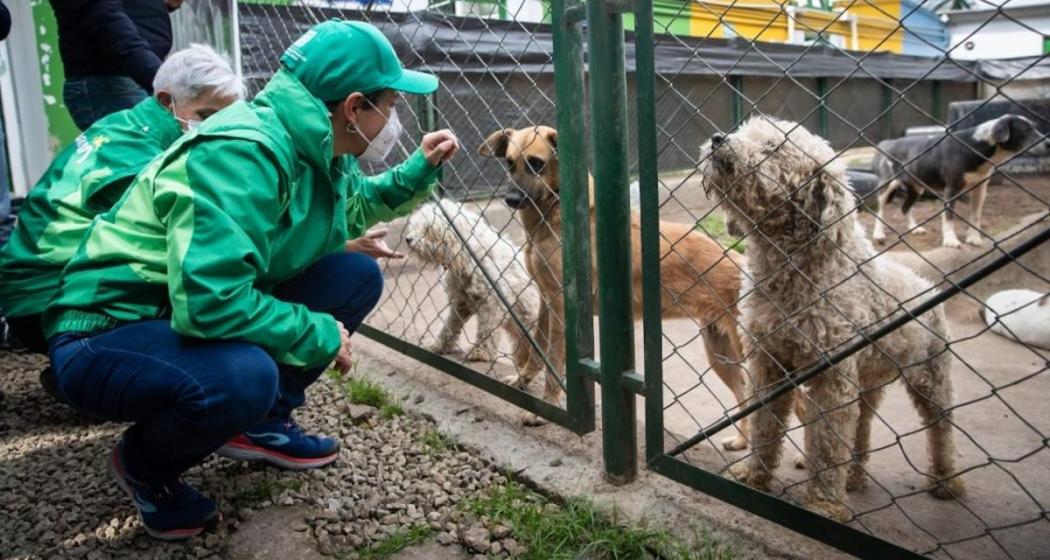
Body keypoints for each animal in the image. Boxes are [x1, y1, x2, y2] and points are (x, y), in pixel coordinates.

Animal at [403, 198, 546, 386]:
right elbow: (449, 326)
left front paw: (480, 353)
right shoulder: (461, 303)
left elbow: (486, 330)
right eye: (415, 224)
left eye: (427, 228)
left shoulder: (492, 302)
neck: (469, 256)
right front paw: (439, 345)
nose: (407, 239)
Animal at [480, 124, 760, 447]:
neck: (554, 213)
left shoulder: (561, 306)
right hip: (721, 354)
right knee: (745, 395)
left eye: (536, 163)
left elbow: (554, 361)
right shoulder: (546, 300)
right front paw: (523, 380)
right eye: (510, 163)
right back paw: (742, 443)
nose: (511, 199)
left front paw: (546, 406)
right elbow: (537, 350)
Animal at [701, 115, 961, 521]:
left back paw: (946, 481)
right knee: (862, 426)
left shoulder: (831, 377)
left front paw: (823, 504)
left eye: (773, 147)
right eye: (745, 131)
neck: (793, 270)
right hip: (868, 381)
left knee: (941, 428)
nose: (716, 139)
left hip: (931, 377)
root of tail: (924, 282)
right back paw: (853, 478)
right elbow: (764, 425)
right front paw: (753, 475)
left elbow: (825, 442)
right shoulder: (769, 363)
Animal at [869, 113, 1041, 246]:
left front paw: (974, 238)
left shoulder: (980, 188)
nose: (1046, 143)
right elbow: (948, 216)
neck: (976, 145)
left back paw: (914, 228)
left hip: (917, 188)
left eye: (1035, 127)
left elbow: (976, 216)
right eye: (1026, 130)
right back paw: (878, 234)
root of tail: (887, 143)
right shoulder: (951, 188)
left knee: (905, 208)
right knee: (880, 211)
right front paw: (951, 241)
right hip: (887, 186)